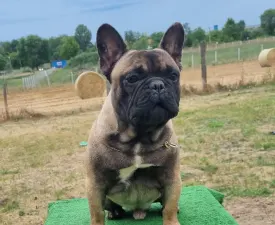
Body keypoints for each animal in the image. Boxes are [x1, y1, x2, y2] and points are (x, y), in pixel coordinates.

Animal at [86, 21, 185, 225]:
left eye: (173, 76)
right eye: (132, 78)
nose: (158, 84)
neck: (139, 137)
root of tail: (138, 210)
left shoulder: (171, 177)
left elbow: (170, 207)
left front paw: (171, 219)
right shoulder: (95, 184)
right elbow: (96, 213)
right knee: (109, 206)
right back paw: (115, 212)